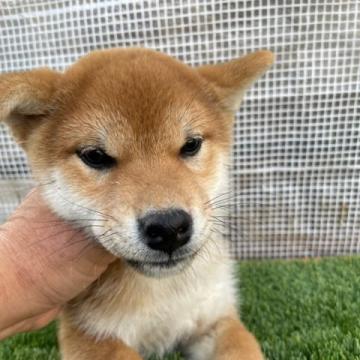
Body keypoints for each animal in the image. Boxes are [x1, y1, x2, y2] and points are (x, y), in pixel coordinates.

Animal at [0, 46, 274, 358]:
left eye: (191, 145)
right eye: (95, 155)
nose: (169, 227)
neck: (163, 291)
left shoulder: (215, 319)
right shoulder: (87, 334)